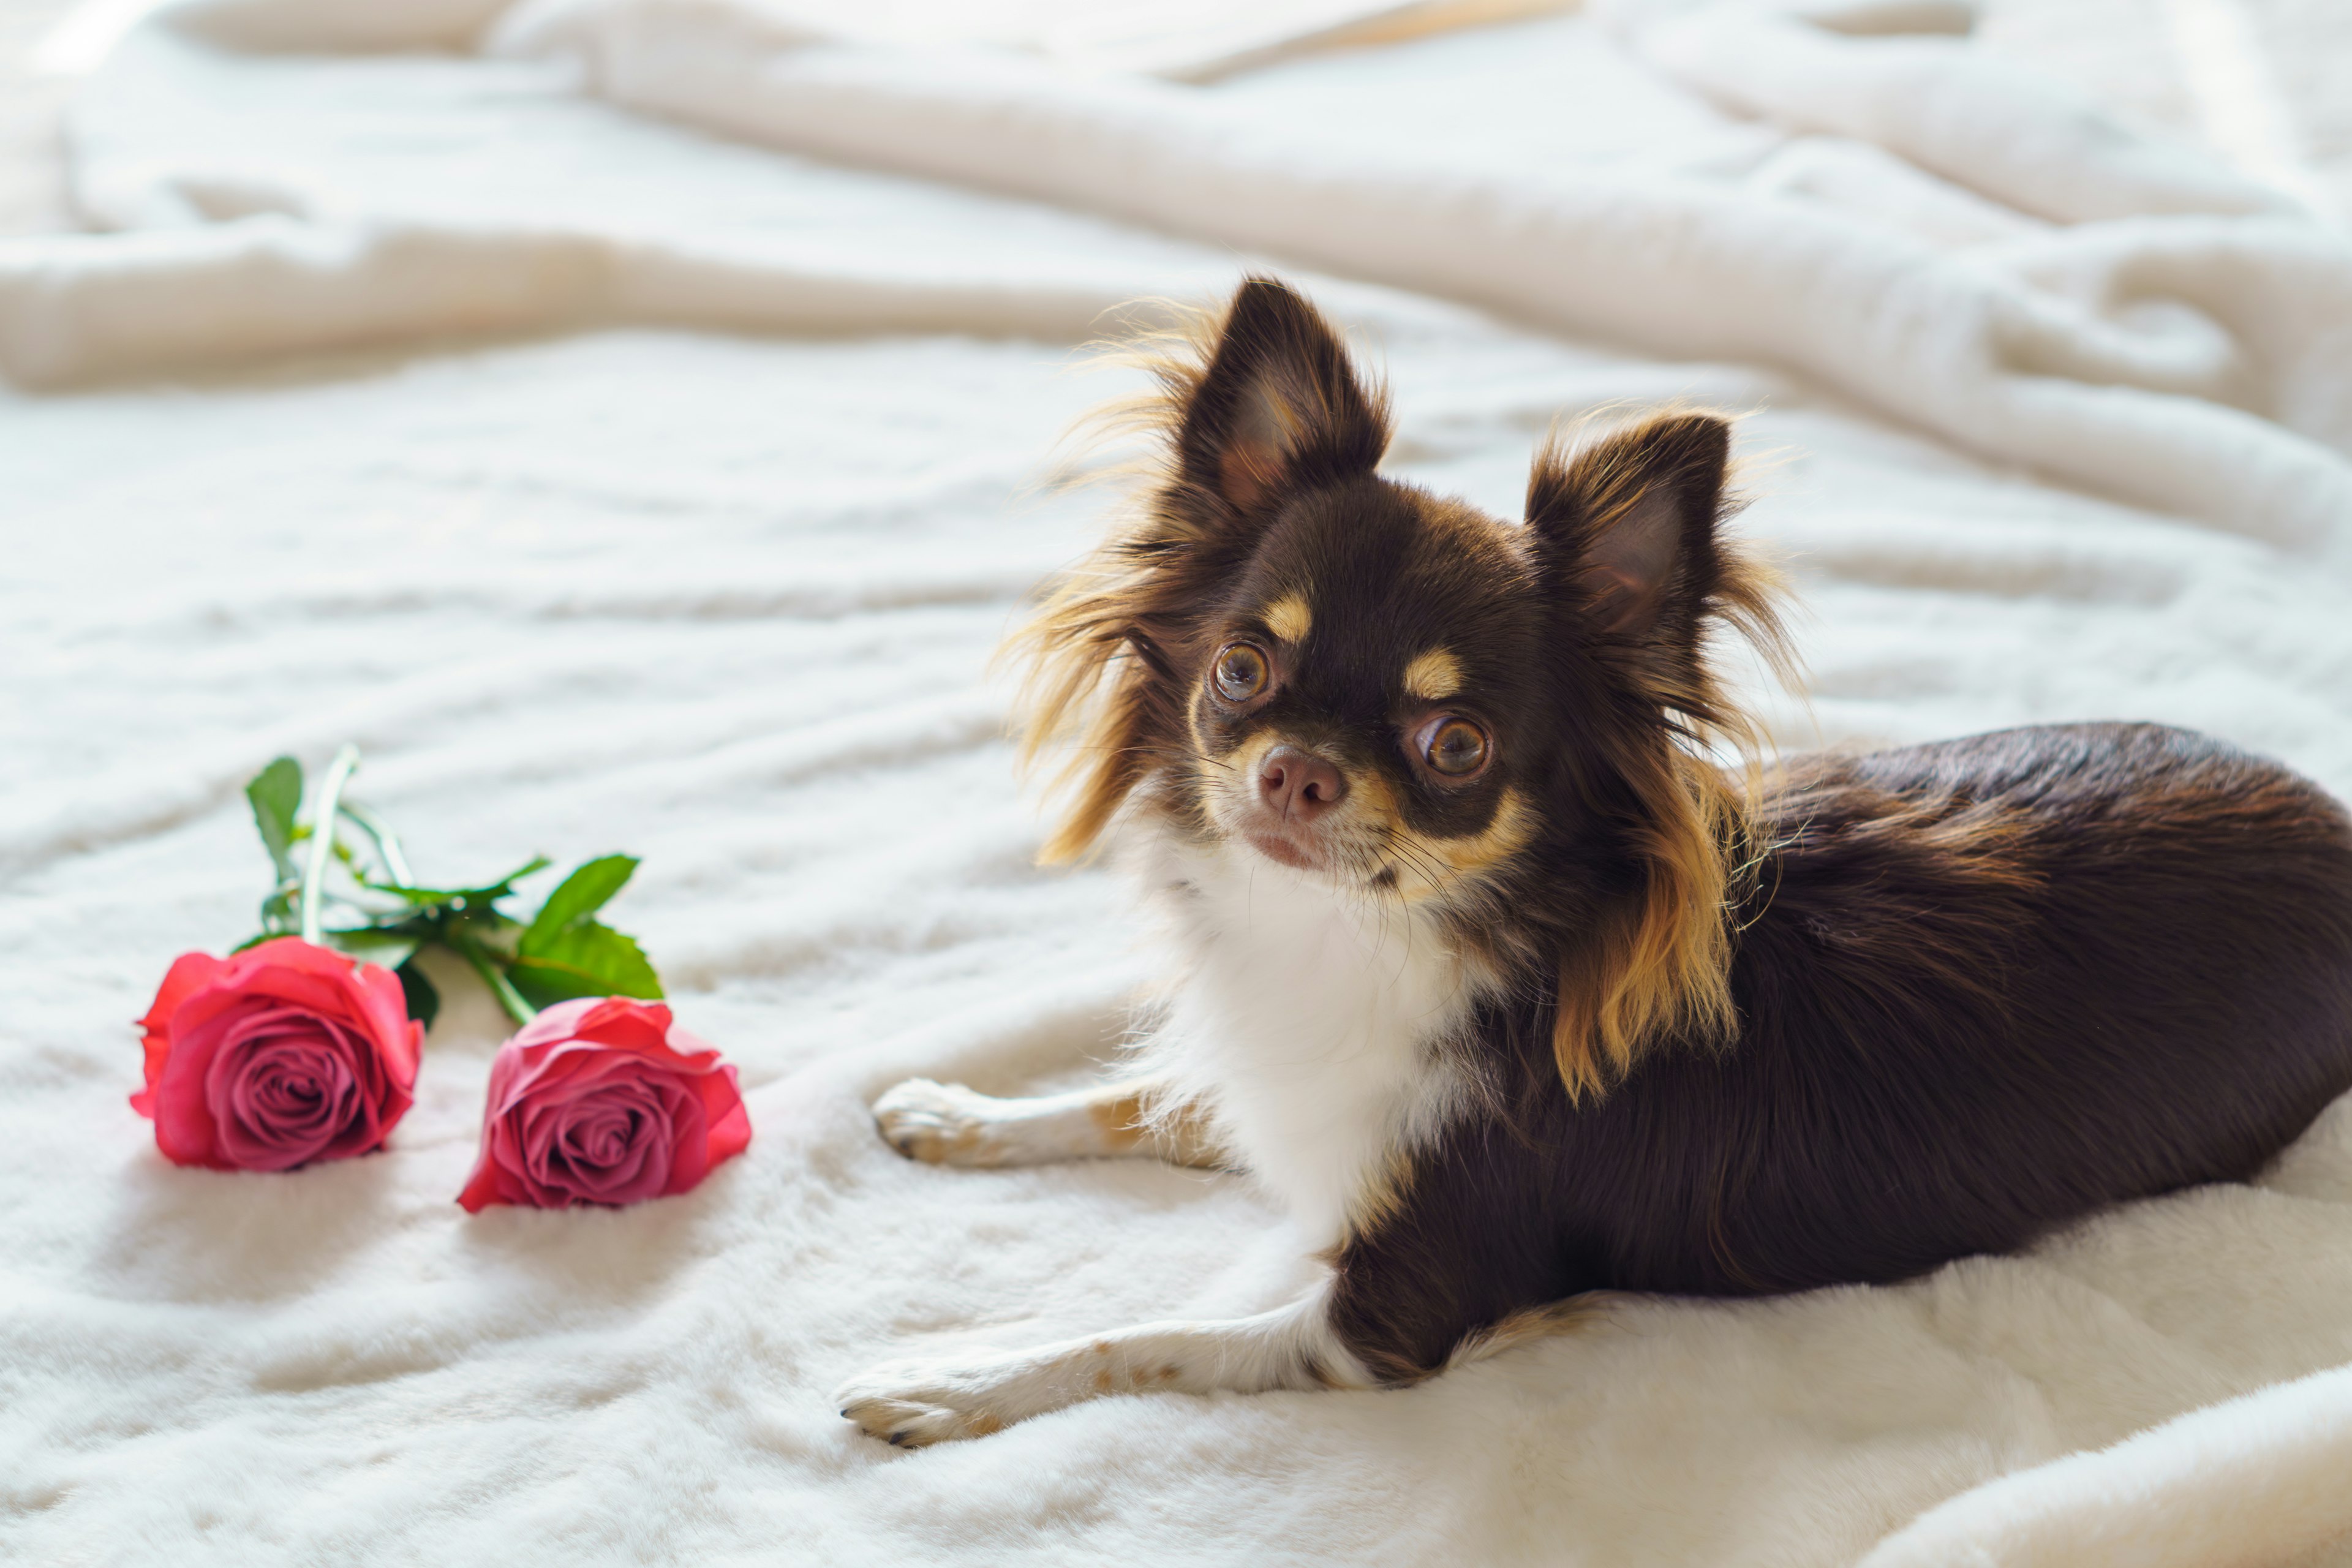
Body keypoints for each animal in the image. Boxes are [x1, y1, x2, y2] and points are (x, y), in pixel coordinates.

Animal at [837, 273, 2352, 1448]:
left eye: (1455, 744)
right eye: (1242, 669)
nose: (1295, 769)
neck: (1363, 936)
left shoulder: (1388, 1317)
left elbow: (1139, 1332)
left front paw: (962, 1372)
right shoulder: (1301, 1096)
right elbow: (1138, 1098)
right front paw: (963, 1113)